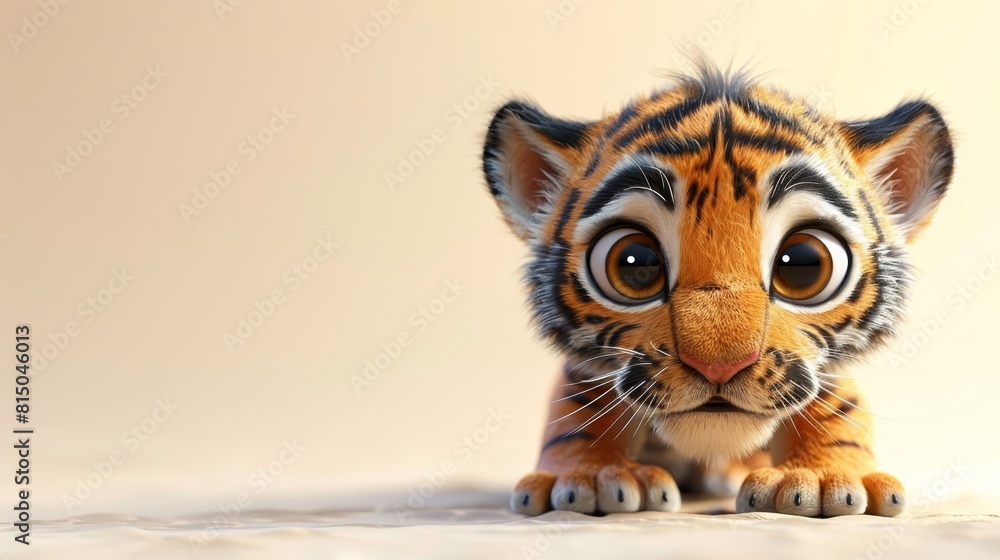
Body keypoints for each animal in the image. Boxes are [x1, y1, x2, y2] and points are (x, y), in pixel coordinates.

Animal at [480, 59, 954, 517]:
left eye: (804, 264)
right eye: (635, 264)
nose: (718, 367)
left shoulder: (825, 370)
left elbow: (839, 412)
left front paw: (822, 479)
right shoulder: (587, 371)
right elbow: (577, 415)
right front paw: (591, 477)